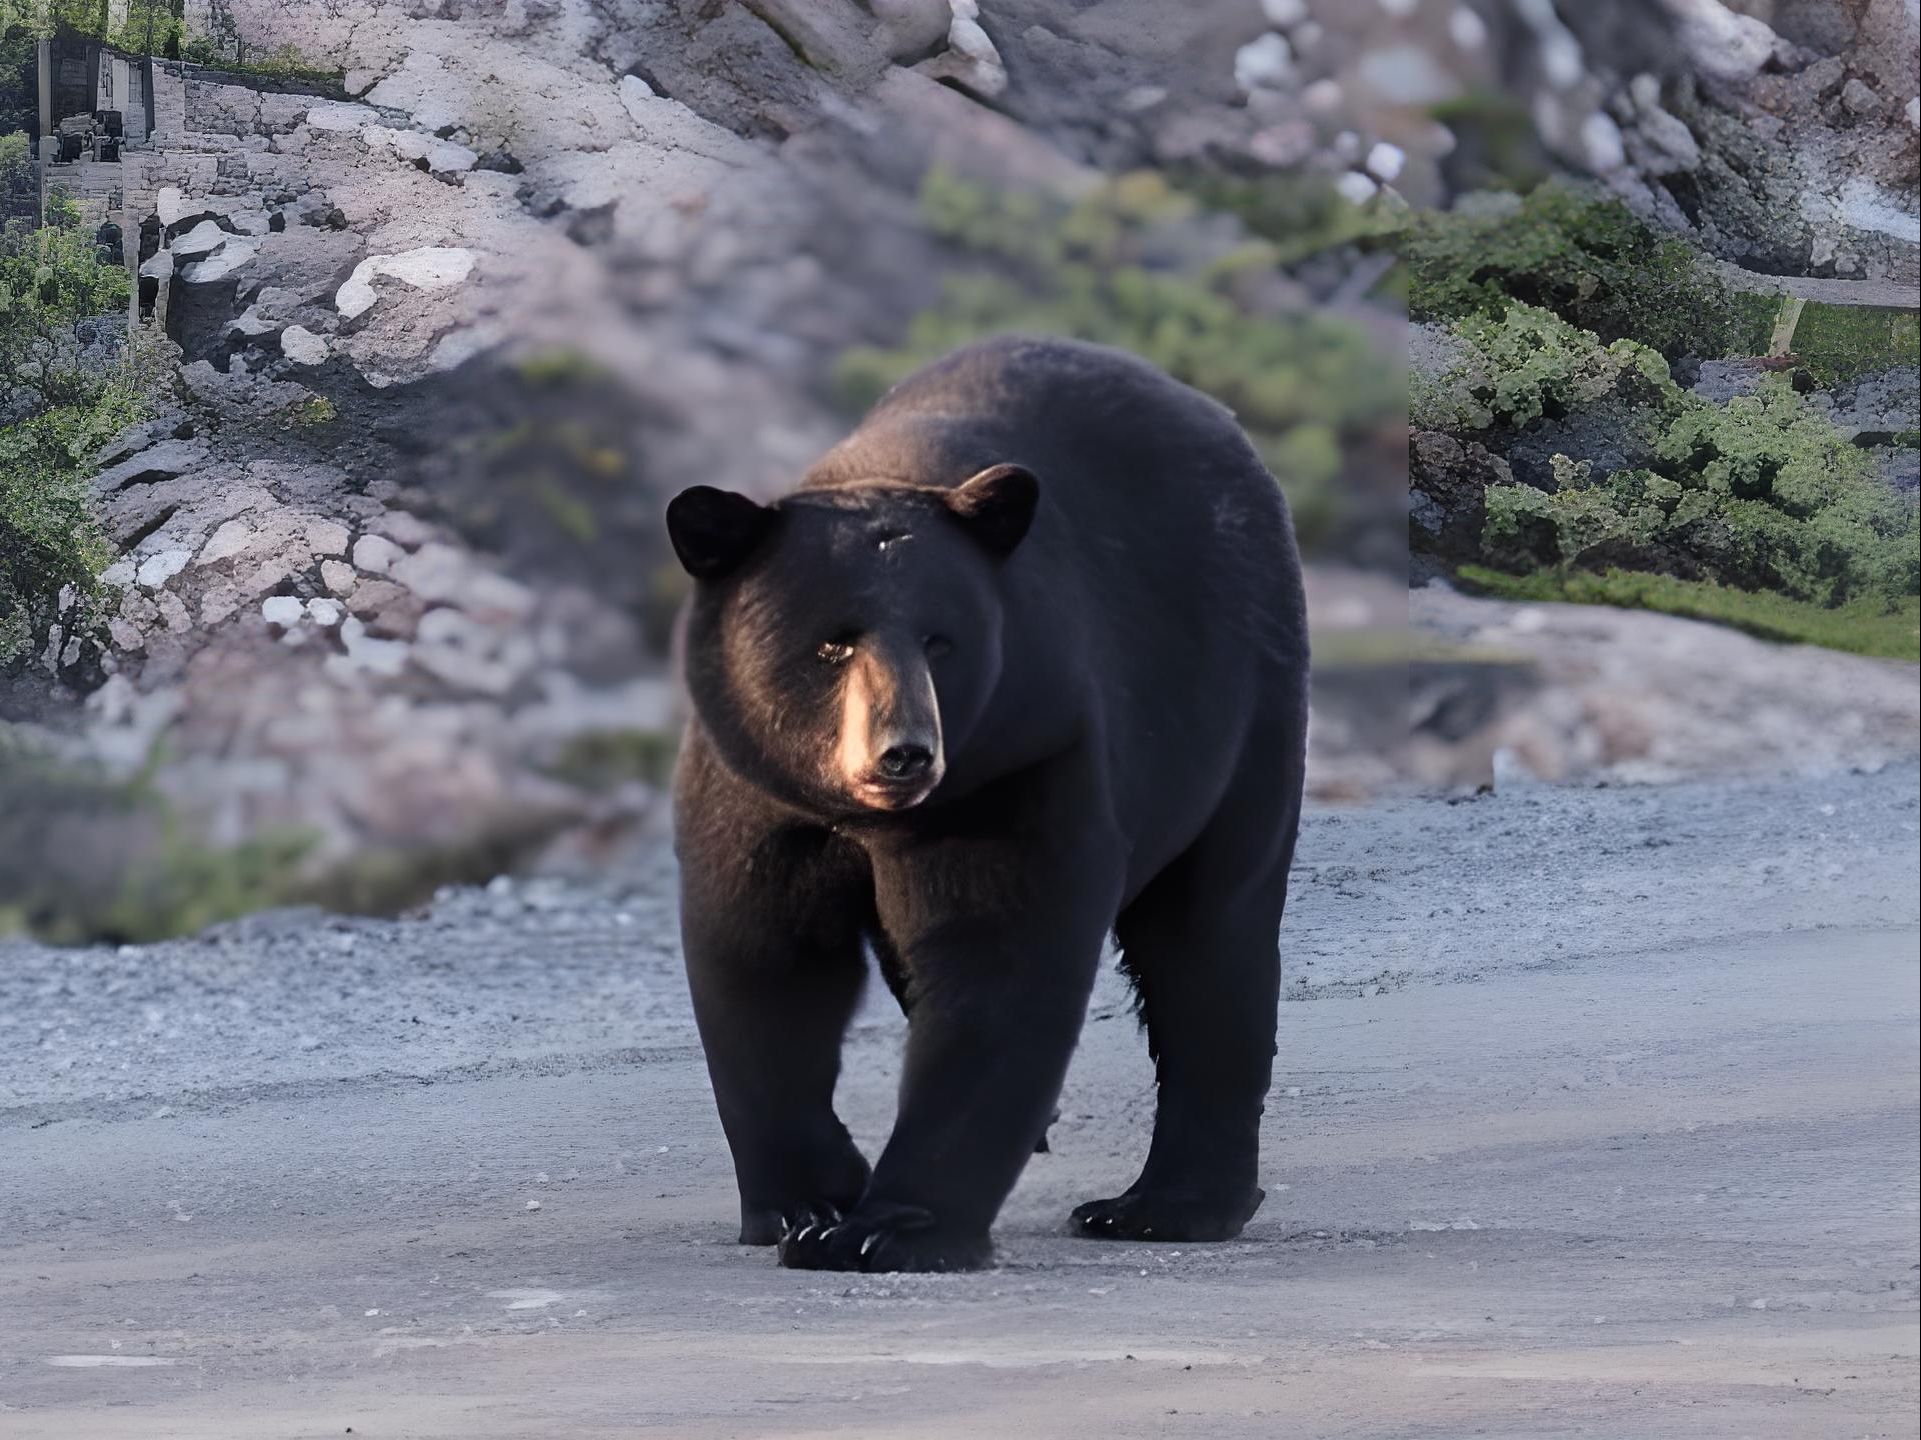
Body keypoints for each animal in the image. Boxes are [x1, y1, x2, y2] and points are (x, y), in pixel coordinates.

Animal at [660, 336, 1306, 1274]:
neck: (866, 820)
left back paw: (1165, 1205)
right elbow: (763, 959)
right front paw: (801, 1204)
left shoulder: (1021, 758)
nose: (904, 752)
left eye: (940, 640)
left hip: (1237, 709)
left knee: (1210, 940)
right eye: (831, 643)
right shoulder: (751, 789)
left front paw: (885, 1227)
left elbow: (996, 956)